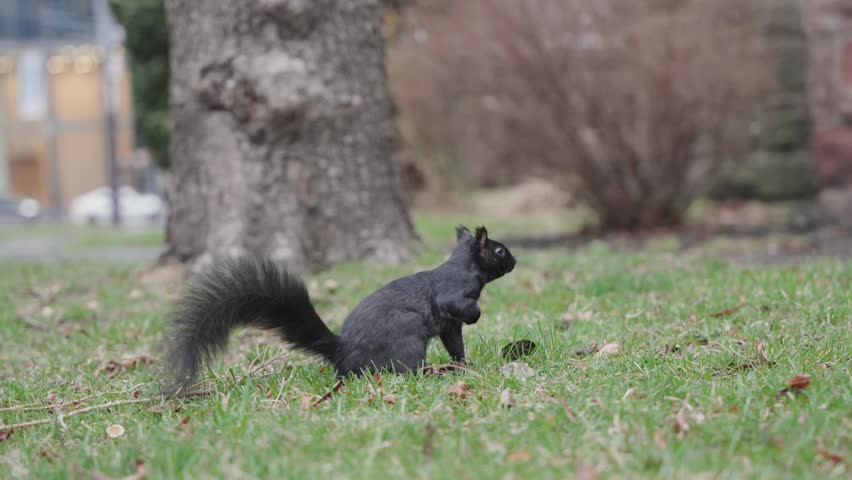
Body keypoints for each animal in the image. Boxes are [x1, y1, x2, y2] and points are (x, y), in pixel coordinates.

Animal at [163, 225, 516, 391]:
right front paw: (476, 317)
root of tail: (344, 352)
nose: (514, 261)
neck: (465, 265)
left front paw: (464, 363)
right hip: (408, 339)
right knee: (401, 369)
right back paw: (427, 373)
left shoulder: (449, 326)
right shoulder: (452, 295)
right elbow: (460, 306)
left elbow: (455, 344)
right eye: (499, 250)